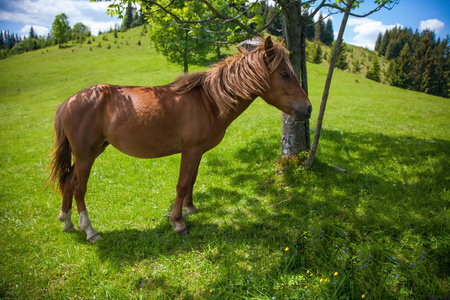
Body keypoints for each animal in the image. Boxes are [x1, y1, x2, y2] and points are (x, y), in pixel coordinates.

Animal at [48, 36, 310, 243]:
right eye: (284, 74)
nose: (307, 109)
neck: (209, 101)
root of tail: (67, 103)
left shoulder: (198, 151)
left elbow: (192, 180)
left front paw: (189, 208)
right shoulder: (190, 150)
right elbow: (182, 184)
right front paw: (178, 222)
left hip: (91, 152)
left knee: (68, 180)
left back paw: (67, 221)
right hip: (86, 155)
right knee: (78, 187)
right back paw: (89, 230)